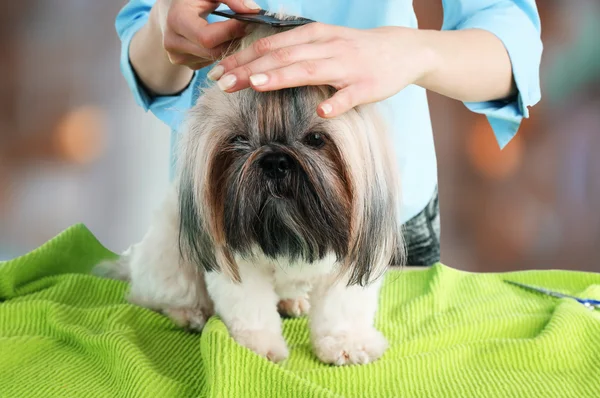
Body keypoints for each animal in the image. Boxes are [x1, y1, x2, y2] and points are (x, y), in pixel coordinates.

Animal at [95, 19, 404, 366]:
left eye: (315, 139)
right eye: (239, 139)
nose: (274, 161)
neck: (289, 234)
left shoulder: (350, 262)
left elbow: (342, 310)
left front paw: (347, 343)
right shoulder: (236, 262)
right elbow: (251, 310)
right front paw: (259, 349)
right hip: (170, 258)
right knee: (157, 295)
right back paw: (189, 313)